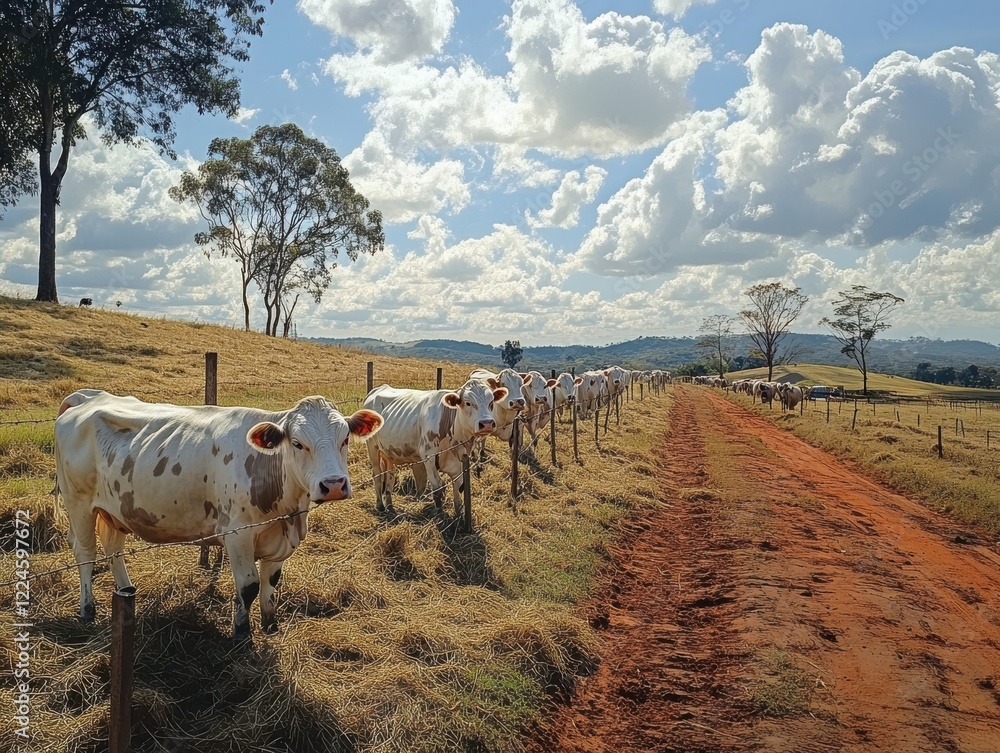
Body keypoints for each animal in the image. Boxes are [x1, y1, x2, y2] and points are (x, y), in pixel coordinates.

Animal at [53, 389, 383, 640]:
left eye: (345, 439)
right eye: (298, 443)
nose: (334, 485)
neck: (288, 514)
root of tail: (88, 398)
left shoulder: (279, 539)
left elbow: (270, 582)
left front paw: (271, 625)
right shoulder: (238, 536)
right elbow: (248, 586)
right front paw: (242, 634)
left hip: (116, 509)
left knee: (113, 548)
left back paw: (125, 589)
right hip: (78, 503)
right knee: (85, 554)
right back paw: (87, 610)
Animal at [364, 379, 508, 517]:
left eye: (491, 402)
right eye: (468, 403)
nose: (487, 424)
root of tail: (377, 389)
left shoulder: (459, 459)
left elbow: (458, 487)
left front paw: (459, 516)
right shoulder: (428, 457)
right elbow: (437, 487)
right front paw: (440, 516)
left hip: (388, 452)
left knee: (389, 477)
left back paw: (390, 506)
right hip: (372, 447)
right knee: (377, 475)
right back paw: (380, 506)